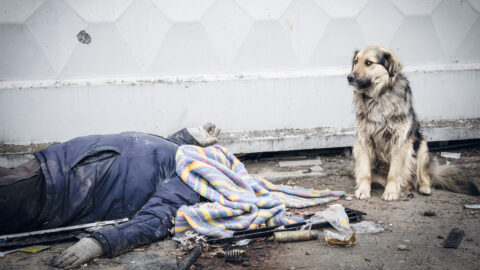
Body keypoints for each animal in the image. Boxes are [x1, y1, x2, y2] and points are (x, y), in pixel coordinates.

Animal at [346, 45, 470, 200]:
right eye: (355, 62)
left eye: (368, 63)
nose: (349, 77)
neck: (378, 97)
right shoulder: (363, 141)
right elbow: (364, 171)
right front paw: (363, 190)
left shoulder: (400, 142)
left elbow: (394, 173)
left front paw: (391, 192)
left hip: (422, 147)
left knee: (424, 175)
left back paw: (423, 187)